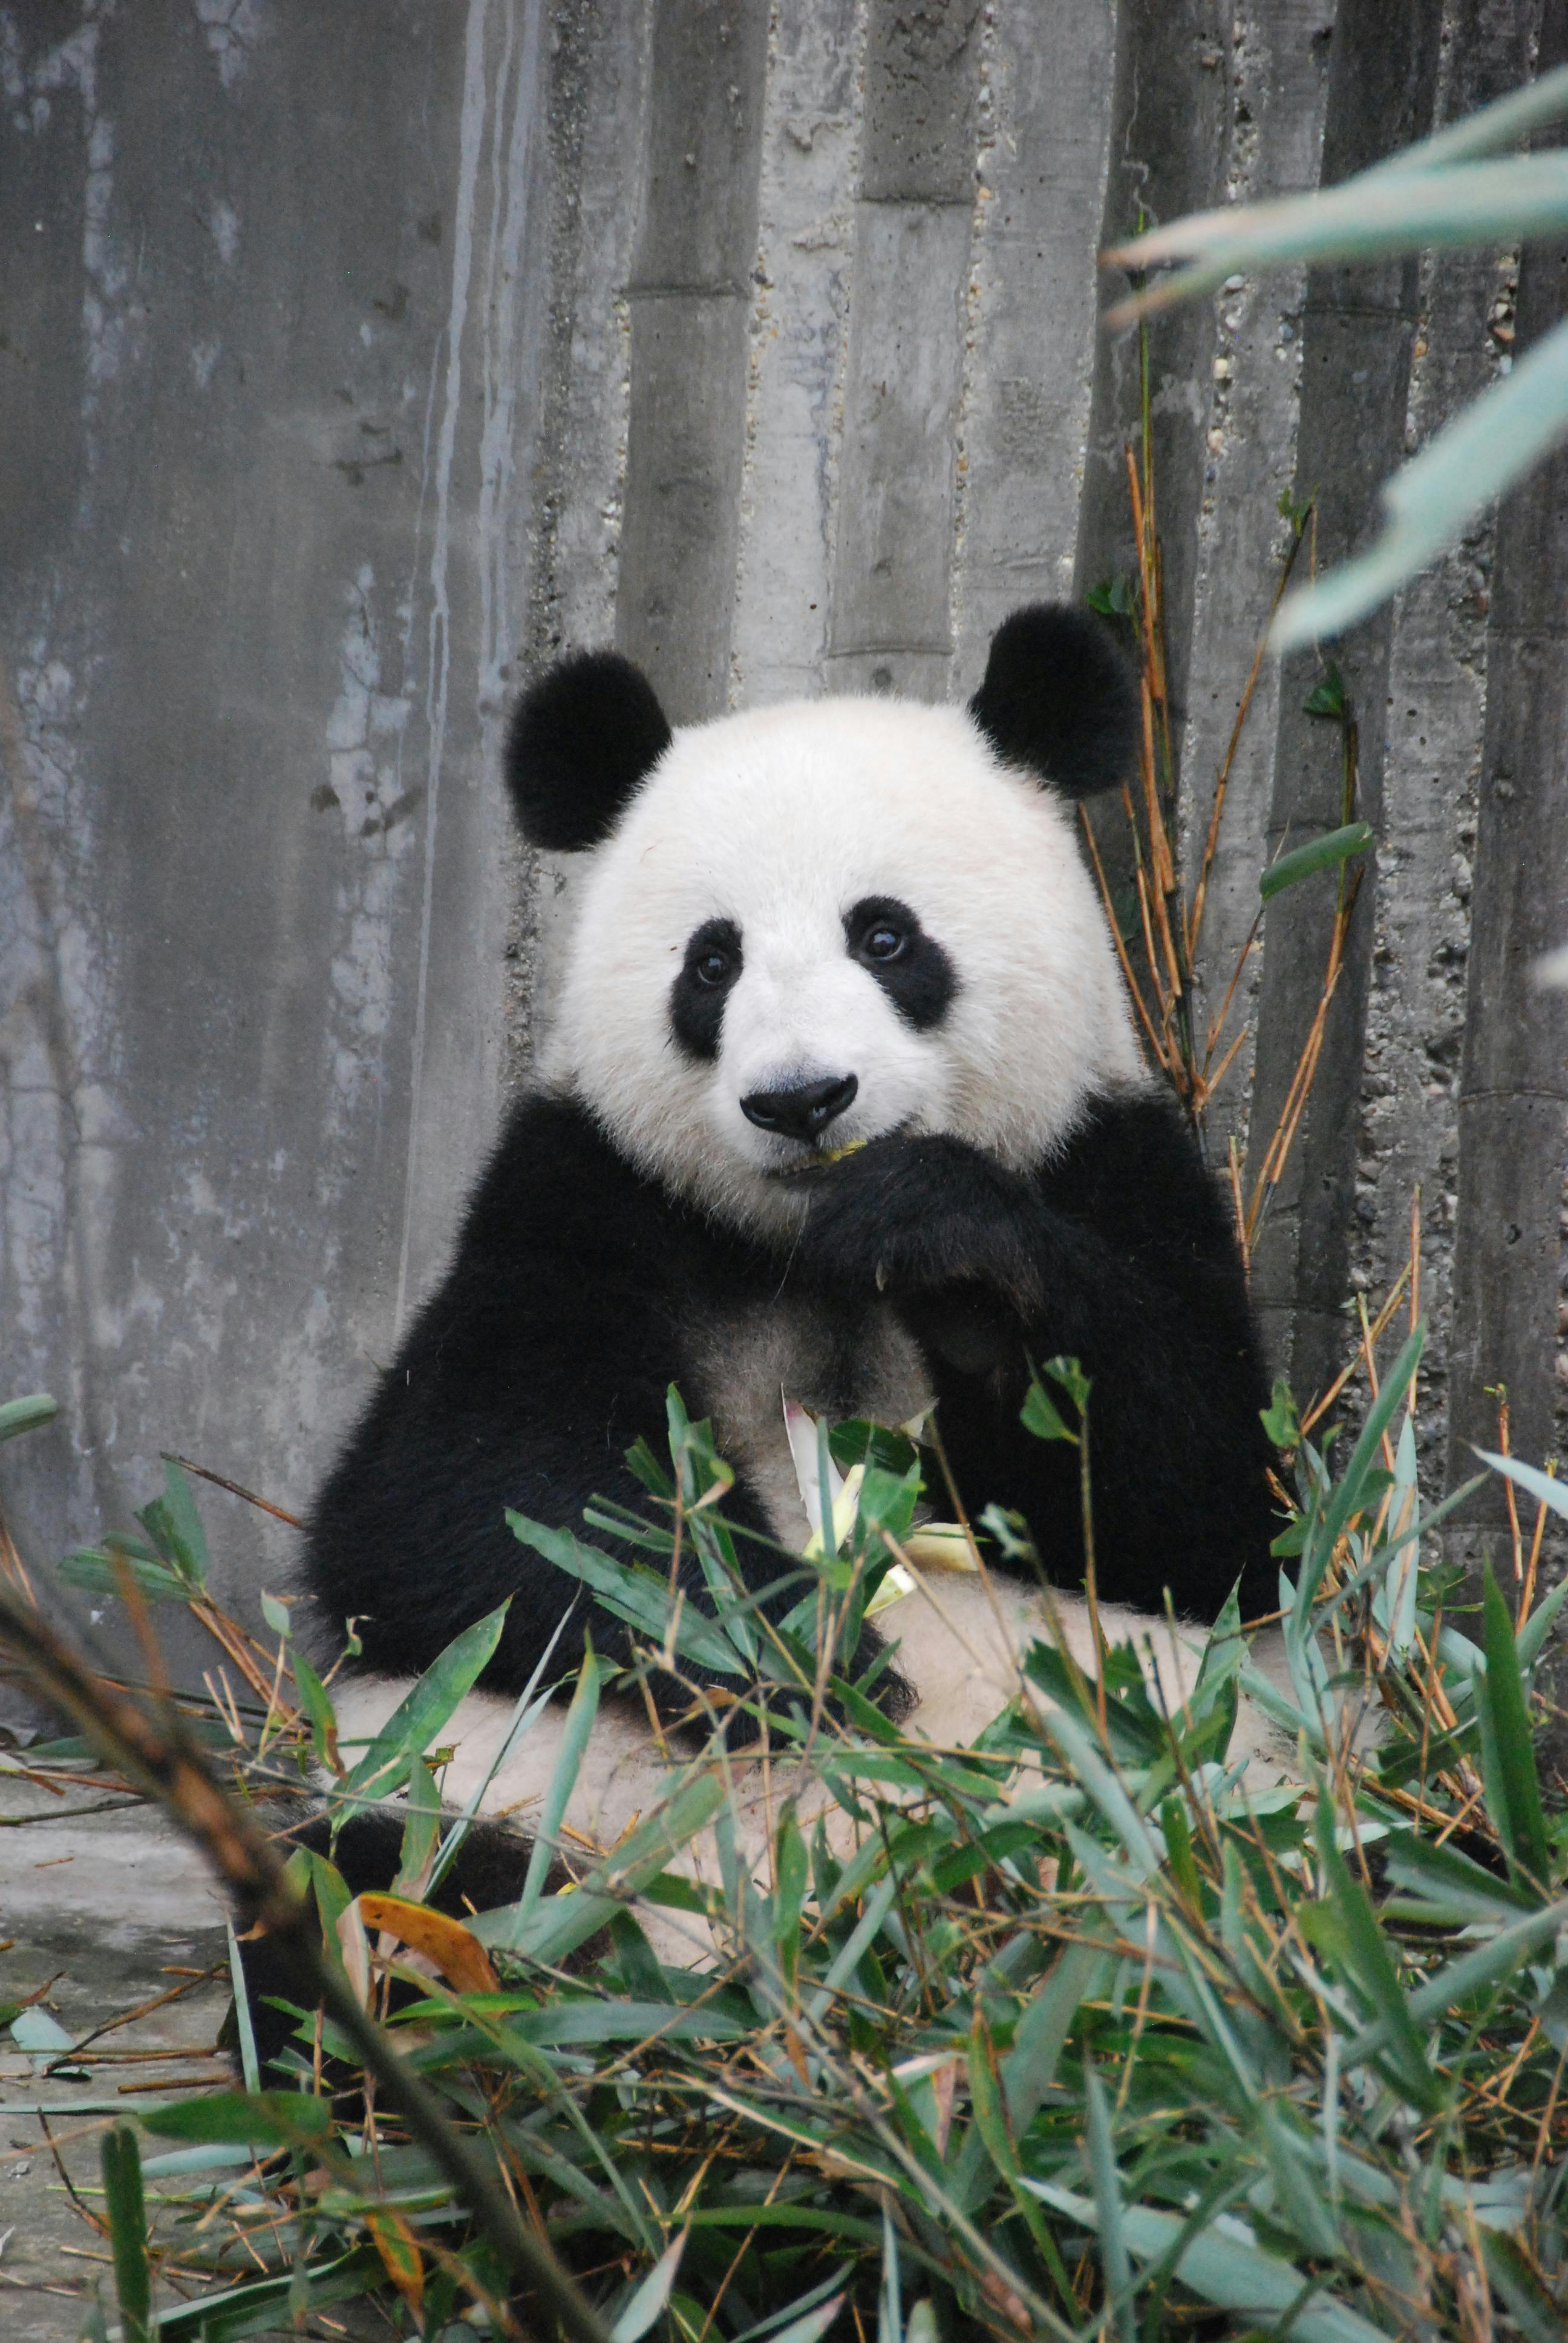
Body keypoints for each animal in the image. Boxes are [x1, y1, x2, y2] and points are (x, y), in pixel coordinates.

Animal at [299, 600, 1293, 1940]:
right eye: (711, 963)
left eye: (885, 935)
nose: (802, 1098)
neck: (805, 1247)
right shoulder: (583, 1200)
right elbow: (457, 1506)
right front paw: (798, 1654)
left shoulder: (1109, 1160)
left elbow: (1210, 1505)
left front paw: (949, 1251)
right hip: (477, 1795)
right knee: (380, 1886)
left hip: (1210, 1807)